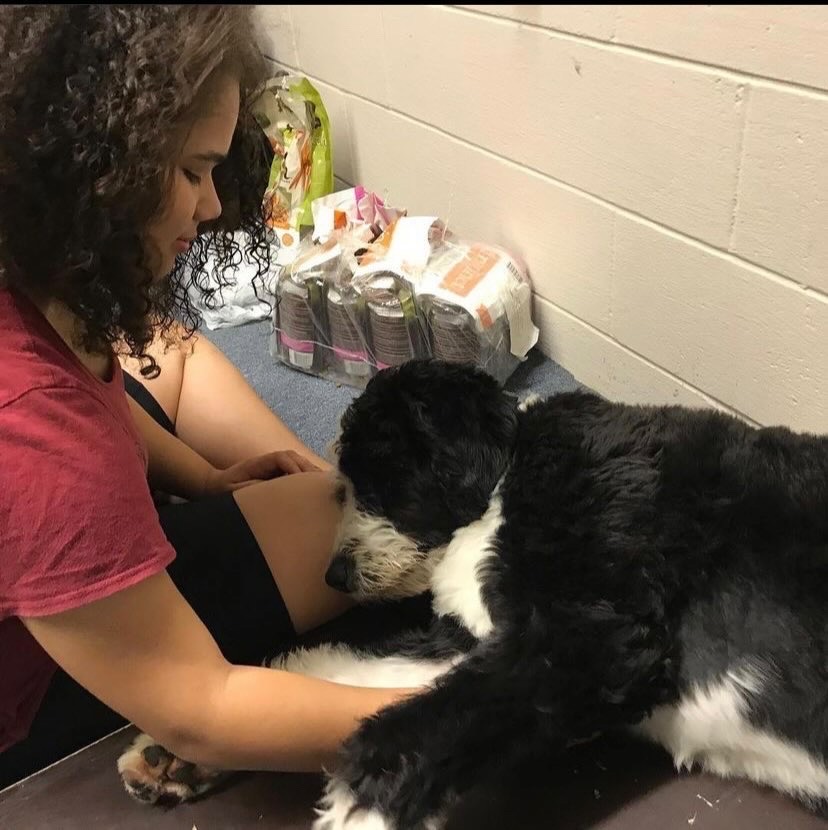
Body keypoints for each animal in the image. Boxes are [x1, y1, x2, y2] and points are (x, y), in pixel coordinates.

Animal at [119, 360, 828, 830]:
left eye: (381, 474)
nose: (335, 577)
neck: (505, 477)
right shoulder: (479, 637)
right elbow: (344, 671)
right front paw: (174, 755)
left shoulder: (593, 635)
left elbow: (440, 717)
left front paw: (363, 802)